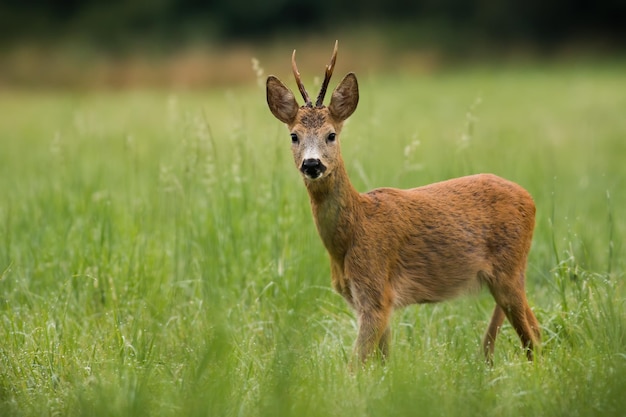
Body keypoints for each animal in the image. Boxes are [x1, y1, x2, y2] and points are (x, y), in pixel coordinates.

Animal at [264, 40, 536, 362]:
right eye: (294, 136)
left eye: (331, 134)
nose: (312, 164)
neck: (351, 234)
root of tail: (530, 198)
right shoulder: (370, 300)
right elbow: (382, 360)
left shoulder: (376, 291)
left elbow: (356, 363)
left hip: (509, 269)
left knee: (533, 338)